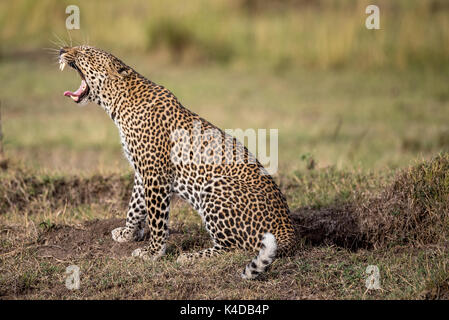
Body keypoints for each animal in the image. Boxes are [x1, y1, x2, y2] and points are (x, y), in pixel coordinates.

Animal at [57, 44, 296, 278]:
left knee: (234, 248)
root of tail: (289, 232)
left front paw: (153, 252)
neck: (118, 103)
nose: (62, 50)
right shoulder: (142, 171)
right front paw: (128, 232)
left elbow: (156, 218)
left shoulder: (155, 174)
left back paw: (191, 257)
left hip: (215, 188)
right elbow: (135, 205)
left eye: (84, 52)